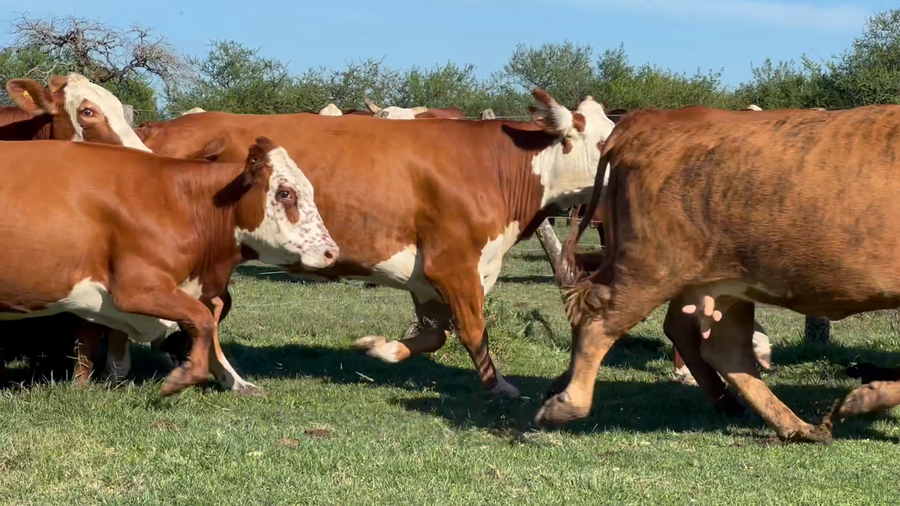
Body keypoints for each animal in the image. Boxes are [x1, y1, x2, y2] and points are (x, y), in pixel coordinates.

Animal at [0, 138, 338, 395]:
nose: (331, 252)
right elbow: (203, 319)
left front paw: (236, 382)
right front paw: (183, 377)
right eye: (285, 193)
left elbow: (208, 322)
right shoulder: (136, 288)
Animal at [132, 88, 616, 397]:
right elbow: (473, 330)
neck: (496, 168)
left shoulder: (429, 276)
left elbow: (434, 335)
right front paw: (498, 386)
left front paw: (379, 348)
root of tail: (164, 126)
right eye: (605, 143)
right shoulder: (454, 263)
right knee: (206, 312)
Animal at [540, 104, 900, 442]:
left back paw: (786, 422)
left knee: (723, 349)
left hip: (725, 284)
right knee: (596, 316)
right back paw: (566, 403)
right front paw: (863, 399)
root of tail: (646, 120)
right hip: (649, 267)